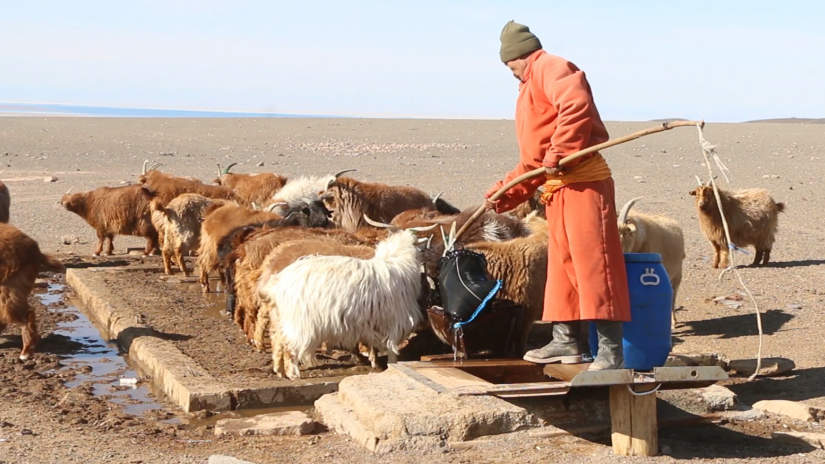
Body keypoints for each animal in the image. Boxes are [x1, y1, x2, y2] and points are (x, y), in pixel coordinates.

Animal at [258, 216, 434, 378]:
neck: (397, 263)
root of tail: (276, 283)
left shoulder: (370, 321)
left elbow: (371, 345)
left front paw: (374, 363)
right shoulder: (393, 321)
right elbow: (391, 351)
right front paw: (389, 367)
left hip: (281, 318)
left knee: (278, 340)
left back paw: (280, 371)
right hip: (299, 321)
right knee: (289, 346)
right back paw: (293, 373)